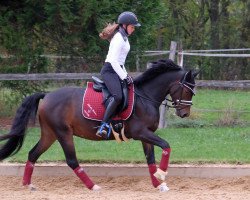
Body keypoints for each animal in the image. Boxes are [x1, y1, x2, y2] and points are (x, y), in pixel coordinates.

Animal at [0, 59, 197, 192]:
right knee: (71, 160)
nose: (184, 114)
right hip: (63, 133)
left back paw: (28, 185)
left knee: (33, 154)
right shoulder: (141, 132)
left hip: (50, 134)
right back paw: (93, 186)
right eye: (188, 90)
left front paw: (158, 184)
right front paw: (162, 174)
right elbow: (166, 145)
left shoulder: (146, 135)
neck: (146, 96)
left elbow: (150, 160)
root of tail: (47, 95)